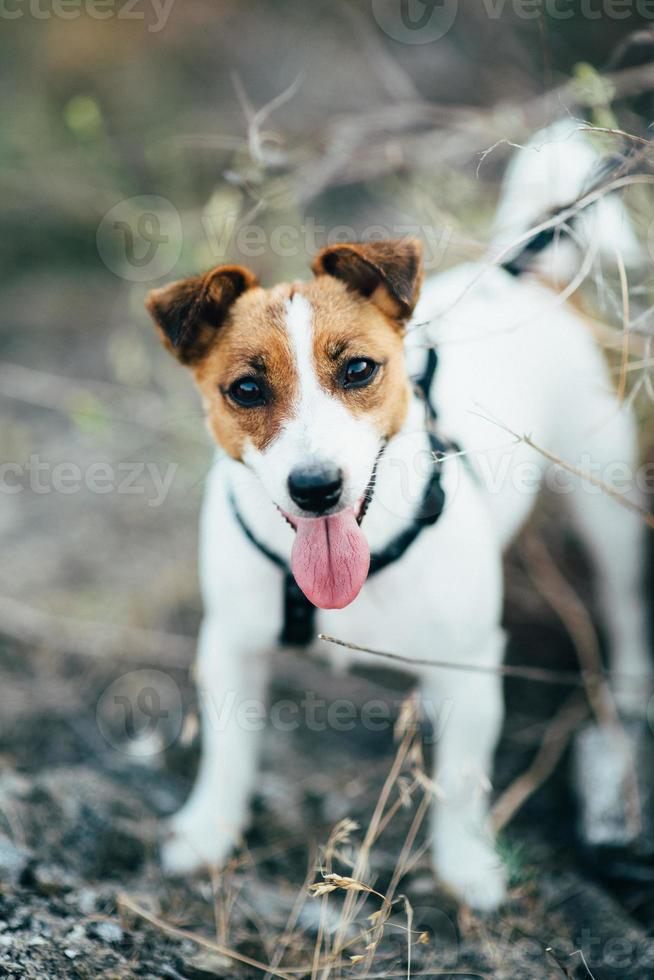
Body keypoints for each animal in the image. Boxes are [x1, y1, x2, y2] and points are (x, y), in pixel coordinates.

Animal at [146, 122, 652, 912]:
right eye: (246, 389)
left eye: (358, 369)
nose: (316, 487)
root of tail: (521, 273)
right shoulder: (231, 645)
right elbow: (228, 754)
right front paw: (206, 832)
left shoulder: (470, 663)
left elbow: (461, 783)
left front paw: (467, 866)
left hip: (606, 503)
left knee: (625, 605)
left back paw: (628, 700)